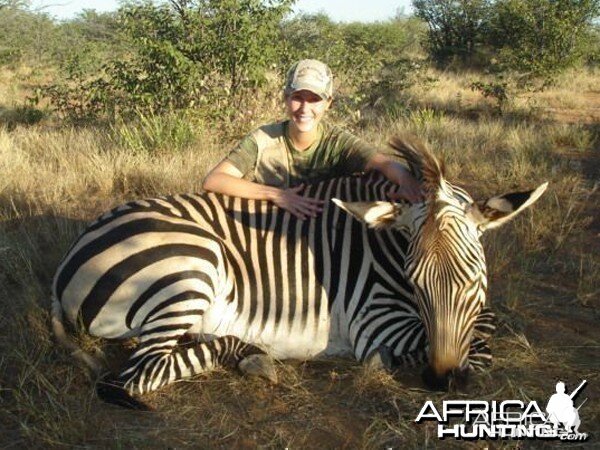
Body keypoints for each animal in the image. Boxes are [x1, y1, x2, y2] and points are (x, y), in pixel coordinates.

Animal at [52, 136, 548, 408]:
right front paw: (386, 362)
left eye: (475, 280)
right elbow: (481, 344)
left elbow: (485, 323)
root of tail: (65, 267)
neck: (384, 244)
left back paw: (250, 353)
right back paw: (252, 356)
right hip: (192, 265)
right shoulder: (377, 321)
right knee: (141, 373)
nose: (441, 379)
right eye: (415, 282)